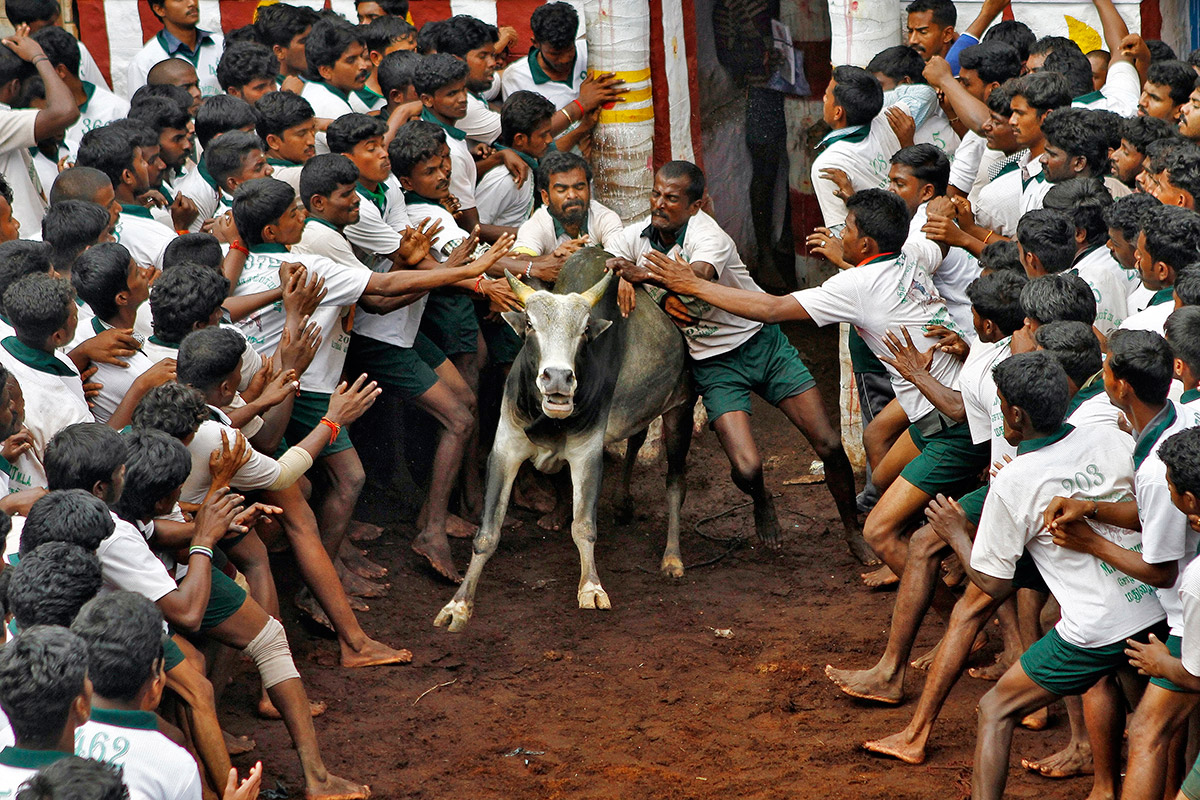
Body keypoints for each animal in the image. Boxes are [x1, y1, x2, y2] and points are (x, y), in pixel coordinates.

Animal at [434, 248, 692, 632]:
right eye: (529, 324)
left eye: (585, 330)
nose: (557, 377)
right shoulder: (505, 449)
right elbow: (487, 533)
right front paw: (458, 605)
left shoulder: (587, 453)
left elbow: (583, 526)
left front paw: (591, 588)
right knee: (636, 440)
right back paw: (620, 504)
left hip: (681, 411)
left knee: (675, 484)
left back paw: (672, 557)